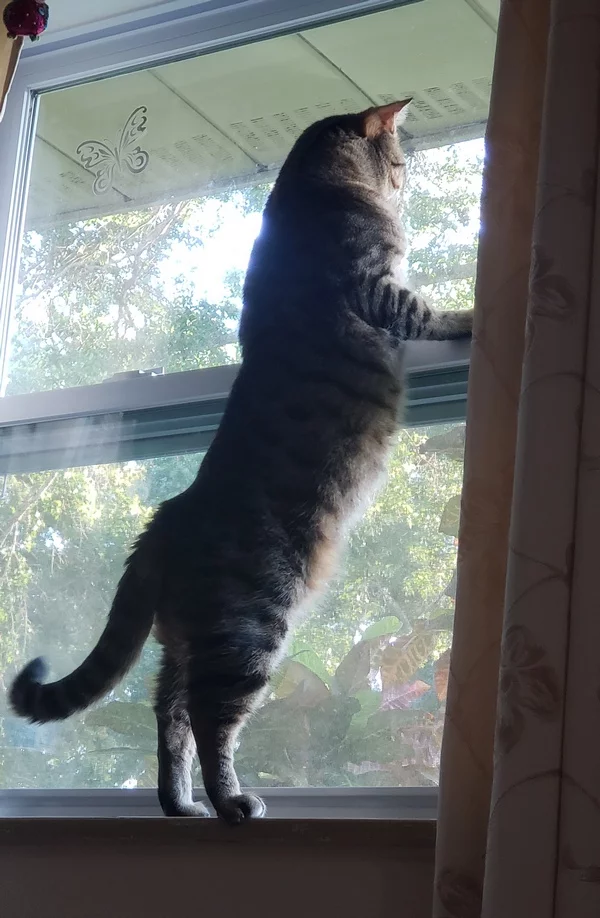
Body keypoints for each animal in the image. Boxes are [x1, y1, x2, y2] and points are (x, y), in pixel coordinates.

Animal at [9, 100, 472, 825]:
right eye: (398, 160)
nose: (405, 181)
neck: (307, 192)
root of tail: (166, 520)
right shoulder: (377, 286)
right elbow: (429, 311)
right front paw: (474, 314)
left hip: (184, 643)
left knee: (167, 716)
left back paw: (181, 805)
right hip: (250, 628)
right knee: (208, 717)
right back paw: (231, 802)